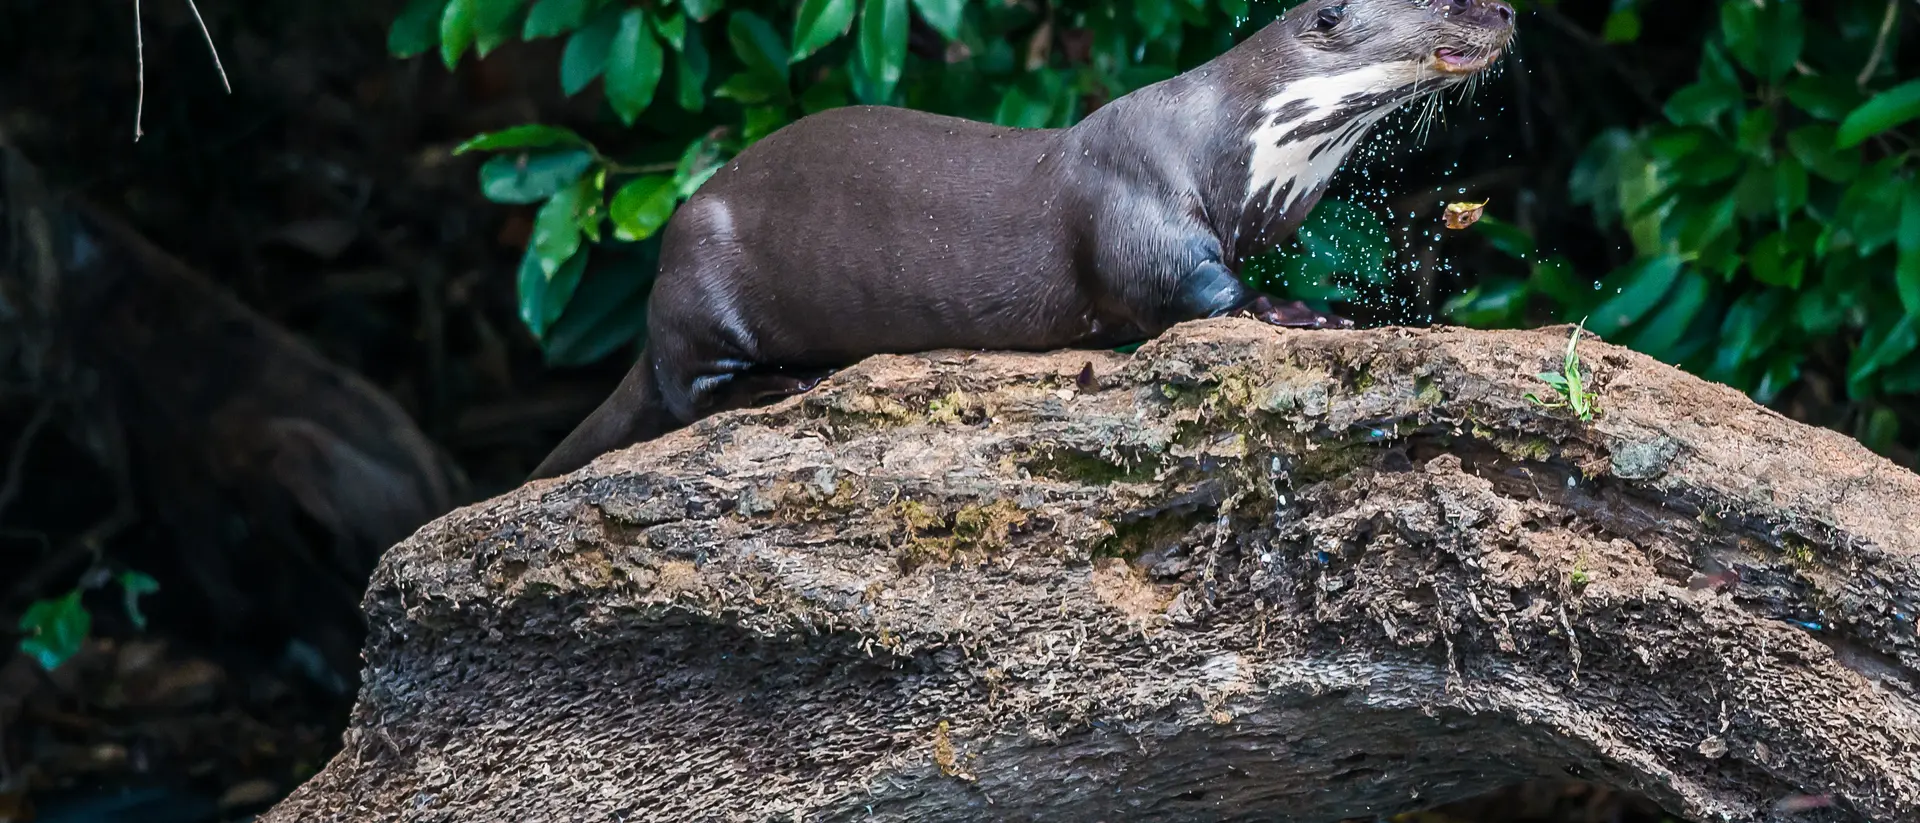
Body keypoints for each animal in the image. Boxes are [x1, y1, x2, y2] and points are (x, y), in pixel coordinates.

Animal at [531, 0, 1514, 480]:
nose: (1505, 9)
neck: (1239, 140)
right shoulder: (1139, 201)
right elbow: (1188, 289)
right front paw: (1304, 311)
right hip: (701, 272)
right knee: (688, 389)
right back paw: (785, 383)